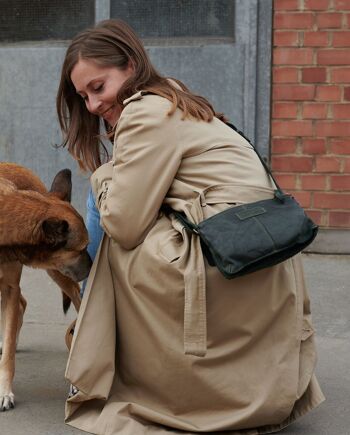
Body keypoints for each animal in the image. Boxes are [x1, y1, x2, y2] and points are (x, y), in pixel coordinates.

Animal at [0, 163, 91, 412]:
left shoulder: (10, 287)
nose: (92, 264)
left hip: (56, 272)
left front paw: (4, 391)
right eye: (81, 249)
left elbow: (8, 354)